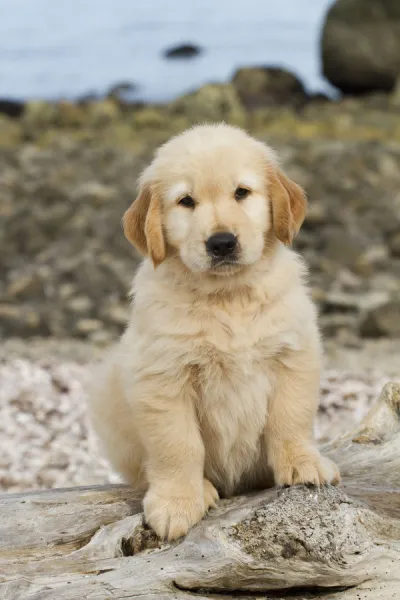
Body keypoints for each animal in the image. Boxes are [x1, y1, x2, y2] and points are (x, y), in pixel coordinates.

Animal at [88, 124, 340, 540]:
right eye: (186, 201)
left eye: (241, 192)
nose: (221, 243)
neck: (227, 296)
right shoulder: (163, 377)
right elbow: (179, 444)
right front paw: (177, 502)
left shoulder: (294, 353)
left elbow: (291, 417)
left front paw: (303, 462)